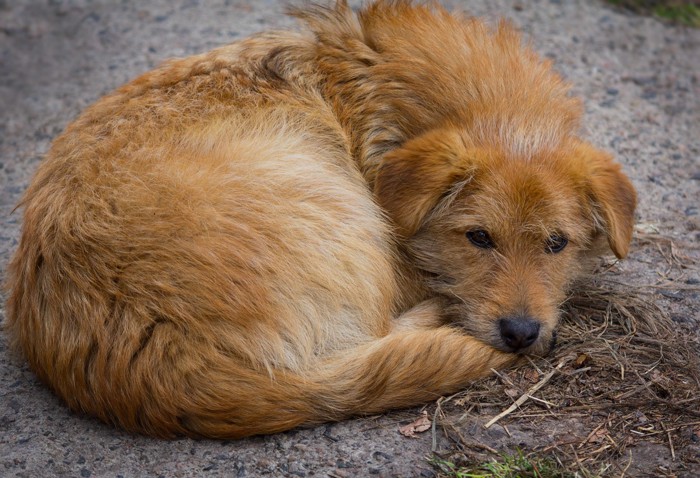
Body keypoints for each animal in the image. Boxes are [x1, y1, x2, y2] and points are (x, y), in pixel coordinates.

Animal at [4, 0, 636, 438]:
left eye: (556, 244)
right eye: (478, 237)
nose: (521, 334)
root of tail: (165, 369)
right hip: (337, 208)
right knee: (376, 333)